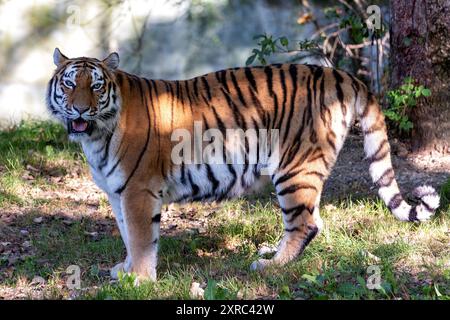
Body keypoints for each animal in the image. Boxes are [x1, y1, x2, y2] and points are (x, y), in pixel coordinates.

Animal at [46, 48, 440, 282]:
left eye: (96, 86)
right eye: (69, 84)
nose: (79, 109)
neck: (97, 135)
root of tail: (341, 75)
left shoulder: (138, 190)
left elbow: (142, 238)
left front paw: (140, 280)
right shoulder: (119, 193)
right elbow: (128, 235)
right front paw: (125, 270)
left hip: (295, 167)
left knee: (305, 223)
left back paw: (271, 265)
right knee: (313, 218)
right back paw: (275, 254)